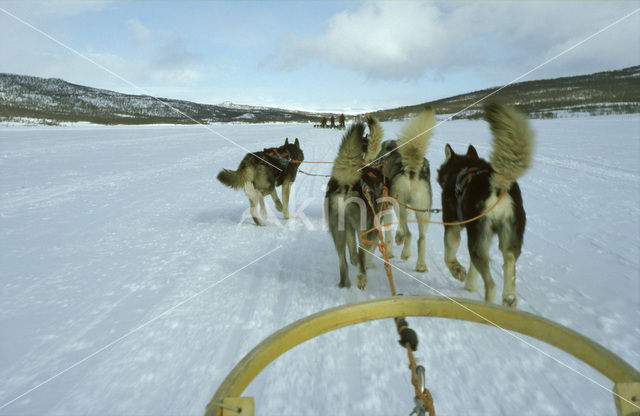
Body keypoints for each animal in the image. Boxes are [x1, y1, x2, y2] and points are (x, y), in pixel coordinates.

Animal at [328, 114, 382, 290]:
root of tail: (347, 184)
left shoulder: (349, 227)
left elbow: (352, 251)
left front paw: (354, 259)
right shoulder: (373, 227)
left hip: (337, 231)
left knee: (343, 261)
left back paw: (344, 283)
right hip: (363, 228)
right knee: (362, 254)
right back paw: (361, 277)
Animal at [378, 106, 438, 272]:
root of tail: (411, 169)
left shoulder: (388, 205)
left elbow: (389, 235)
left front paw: (391, 249)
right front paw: (398, 237)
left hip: (400, 205)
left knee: (409, 233)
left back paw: (405, 252)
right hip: (422, 211)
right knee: (421, 238)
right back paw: (421, 264)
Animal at [436, 103, 536, 306]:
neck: (464, 166)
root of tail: (496, 185)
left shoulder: (452, 224)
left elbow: (449, 255)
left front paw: (457, 270)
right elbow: (473, 270)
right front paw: (469, 285)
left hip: (476, 238)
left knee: (491, 284)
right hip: (507, 238)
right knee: (509, 262)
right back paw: (509, 298)